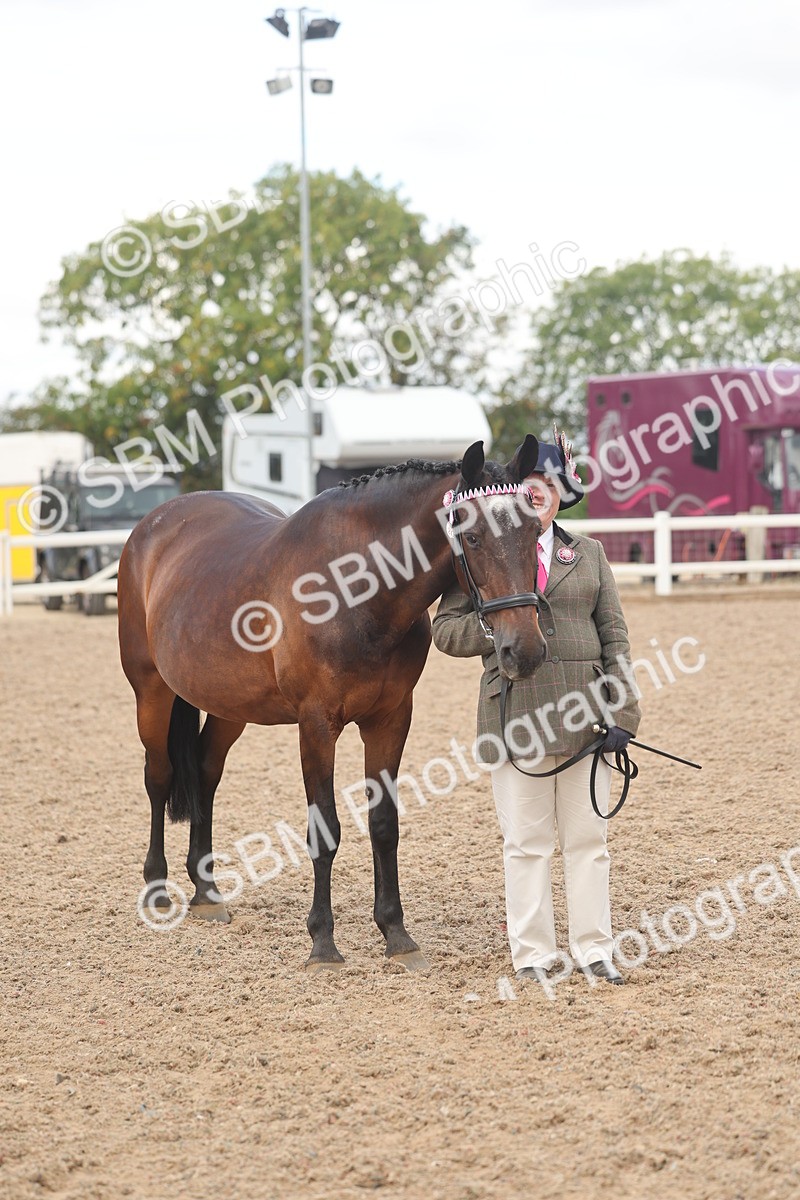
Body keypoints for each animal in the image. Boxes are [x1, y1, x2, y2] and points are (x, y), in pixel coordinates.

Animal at [117, 435, 547, 972]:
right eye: (471, 538)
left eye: (535, 529)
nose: (524, 651)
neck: (355, 590)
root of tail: (154, 524)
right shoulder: (317, 725)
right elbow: (325, 829)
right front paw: (323, 941)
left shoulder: (390, 720)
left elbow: (384, 824)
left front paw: (396, 934)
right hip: (150, 691)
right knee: (158, 776)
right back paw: (157, 887)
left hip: (228, 707)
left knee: (205, 773)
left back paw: (207, 892)